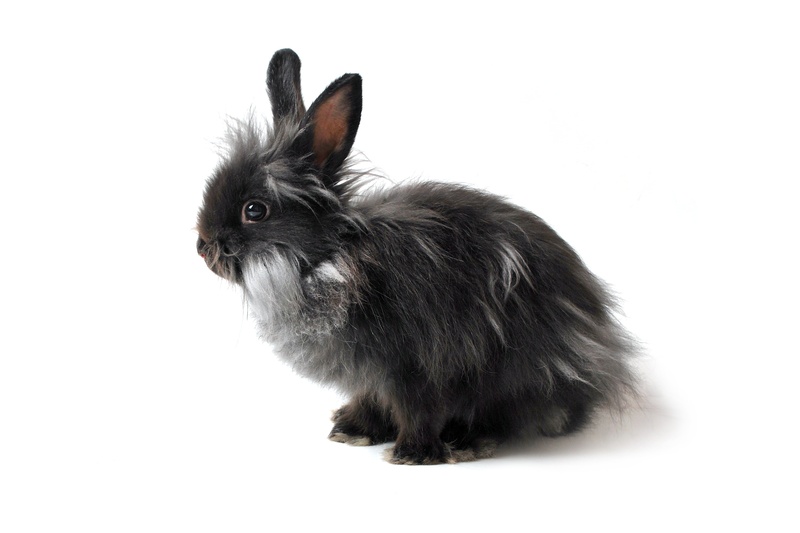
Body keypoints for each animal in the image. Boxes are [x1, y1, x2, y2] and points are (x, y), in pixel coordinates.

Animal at [196, 49, 639, 465]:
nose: (202, 247)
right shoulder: (370, 376)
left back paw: (467, 440)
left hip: (517, 371)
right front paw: (352, 431)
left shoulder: (417, 364)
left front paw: (413, 454)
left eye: (255, 210)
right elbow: (371, 400)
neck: (334, 262)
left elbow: (418, 410)